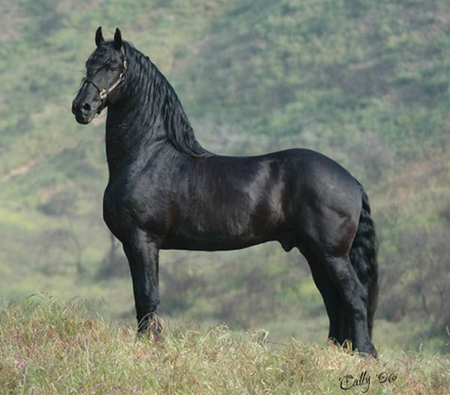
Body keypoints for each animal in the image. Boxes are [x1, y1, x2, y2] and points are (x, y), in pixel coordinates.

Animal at [74, 26, 380, 358]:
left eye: (112, 67)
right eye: (88, 65)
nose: (81, 108)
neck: (148, 156)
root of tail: (351, 180)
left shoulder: (144, 240)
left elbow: (148, 296)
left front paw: (150, 346)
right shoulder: (132, 245)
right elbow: (140, 298)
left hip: (331, 254)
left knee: (354, 295)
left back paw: (364, 353)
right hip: (313, 252)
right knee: (333, 300)